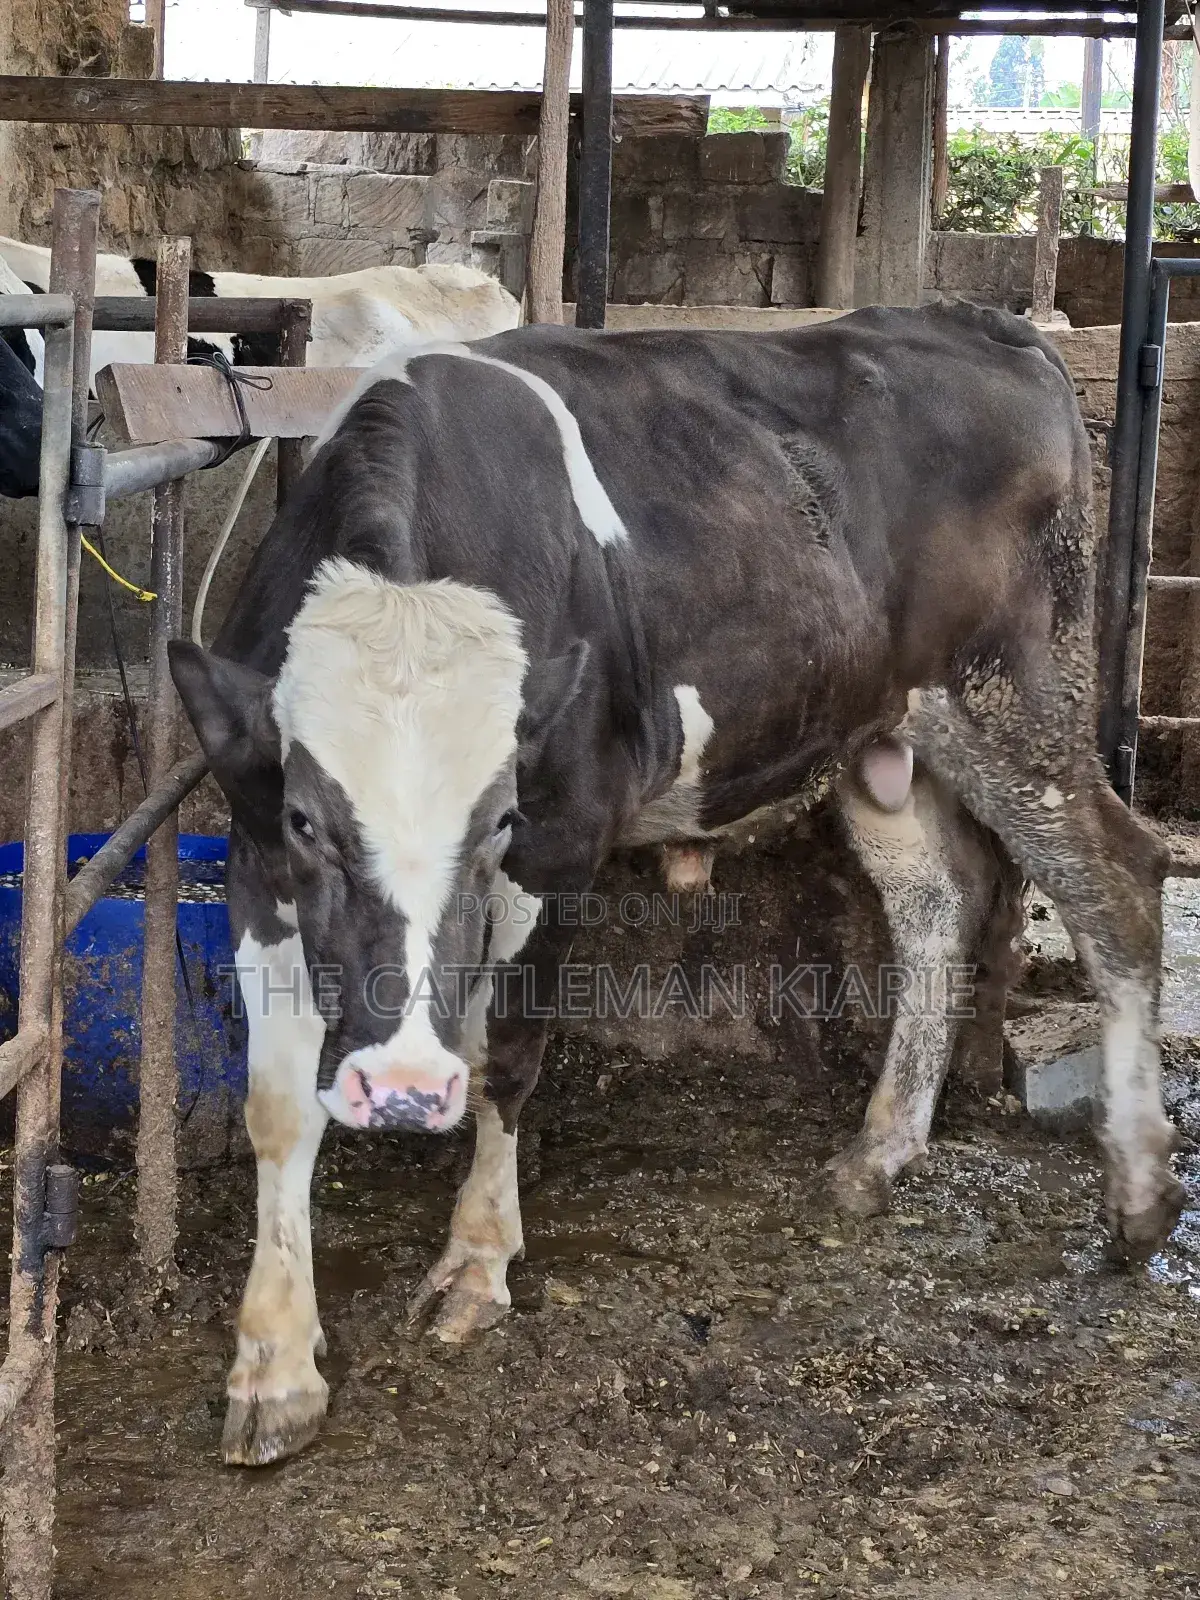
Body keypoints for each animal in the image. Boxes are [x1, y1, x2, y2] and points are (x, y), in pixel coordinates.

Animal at [168, 301, 1185, 1468]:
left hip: (1013, 691)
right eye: (307, 818)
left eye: (498, 818)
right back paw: (879, 1152)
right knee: (937, 907)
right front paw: (273, 1360)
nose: (406, 1090)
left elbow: (509, 1052)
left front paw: (478, 1260)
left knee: (1121, 884)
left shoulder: (560, 840)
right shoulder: (254, 861)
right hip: (880, 730)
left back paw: (1141, 1195)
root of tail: (990, 321)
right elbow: (278, 1107)